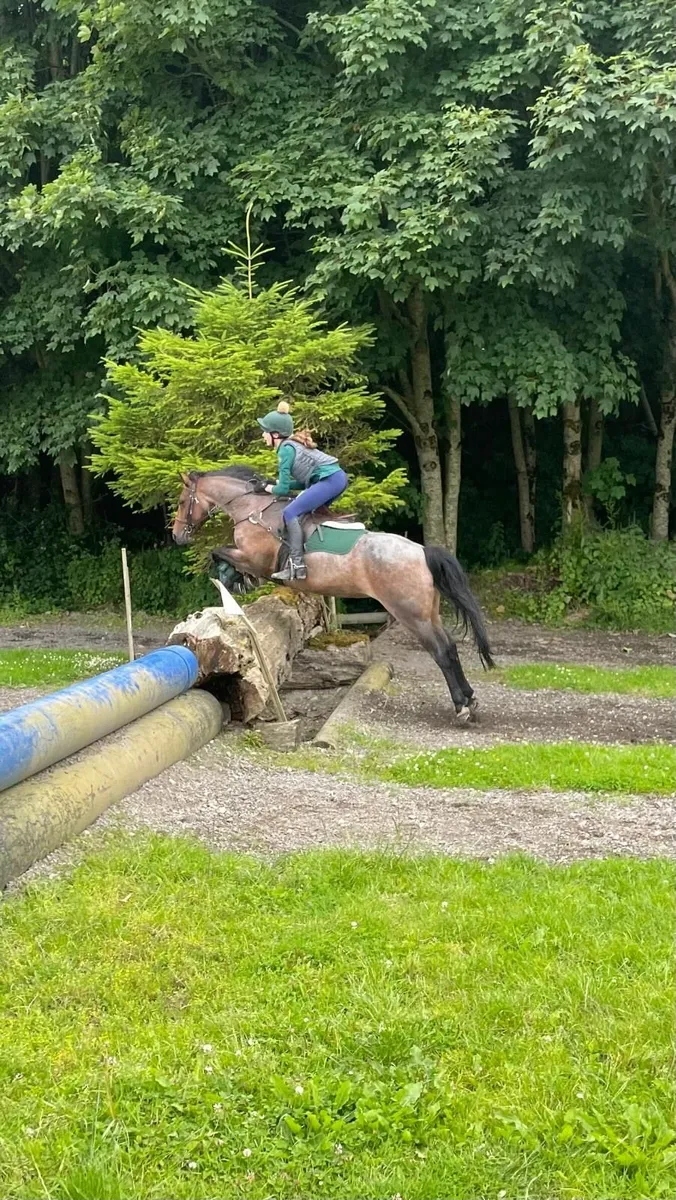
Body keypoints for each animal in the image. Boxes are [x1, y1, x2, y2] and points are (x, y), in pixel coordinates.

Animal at [172, 466, 495, 720]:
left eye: (181, 501)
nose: (177, 536)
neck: (251, 508)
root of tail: (423, 552)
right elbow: (222, 555)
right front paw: (236, 579)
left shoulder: (255, 559)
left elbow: (219, 552)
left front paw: (234, 578)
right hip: (428, 612)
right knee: (450, 647)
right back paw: (470, 698)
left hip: (409, 614)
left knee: (440, 651)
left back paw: (461, 706)